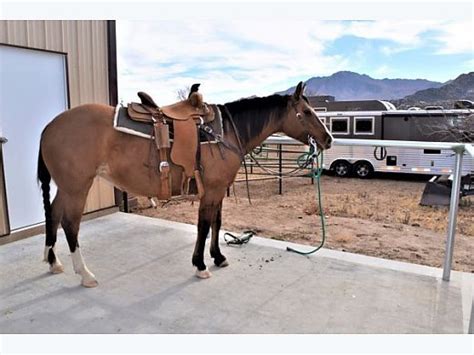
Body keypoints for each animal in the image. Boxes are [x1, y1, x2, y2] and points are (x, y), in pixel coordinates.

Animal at [37, 82, 332, 288]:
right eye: (306, 112)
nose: (328, 139)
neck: (224, 132)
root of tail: (50, 126)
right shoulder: (210, 190)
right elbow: (204, 225)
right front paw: (200, 265)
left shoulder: (218, 191)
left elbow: (216, 223)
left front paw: (218, 257)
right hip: (77, 187)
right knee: (70, 224)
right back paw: (85, 274)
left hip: (66, 187)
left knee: (53, 214)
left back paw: (53, 262)